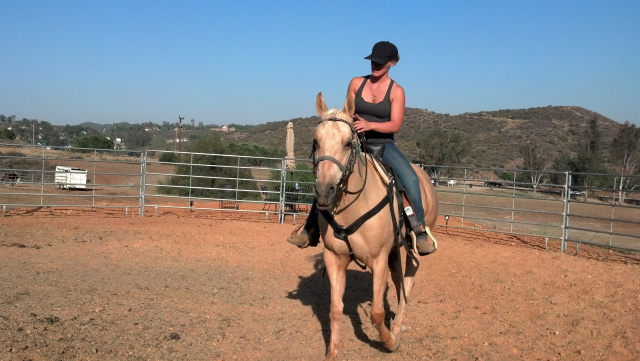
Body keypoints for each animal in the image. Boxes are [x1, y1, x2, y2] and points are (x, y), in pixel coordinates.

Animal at [312, 91, 440, 358]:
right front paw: (332, 353)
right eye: (316, 142)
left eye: (348, 143)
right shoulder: (334, 258)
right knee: (399, 279)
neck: (352, 206)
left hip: (412, 245)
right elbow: (335, 309)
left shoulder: (378, 259)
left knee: (408, 280)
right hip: (394, 249)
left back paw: (398, 327)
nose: (324, 191)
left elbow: (377, 312)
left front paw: (390, 342)